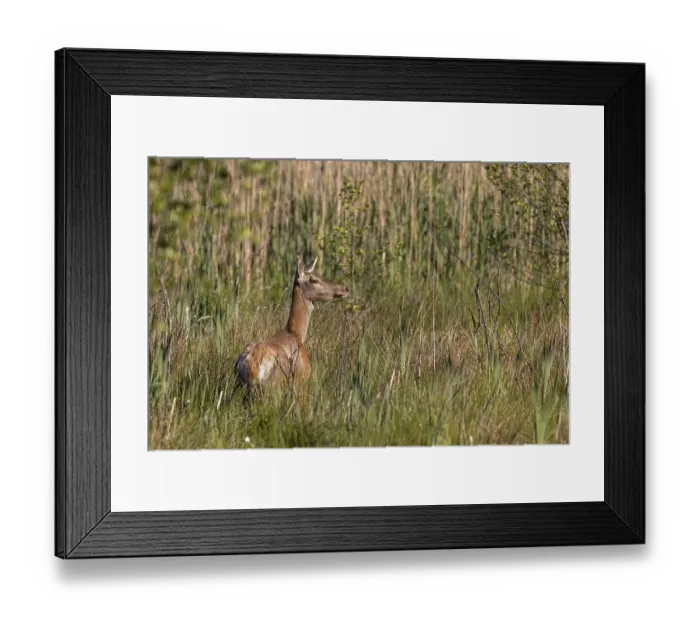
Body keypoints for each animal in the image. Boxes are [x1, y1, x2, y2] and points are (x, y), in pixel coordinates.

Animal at [233, 255, 350, 396]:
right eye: (314, 280)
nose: (345, 288)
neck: (296, 334)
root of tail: (252, 367)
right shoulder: (301, 380)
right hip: (275, 385)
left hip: (242, 386)